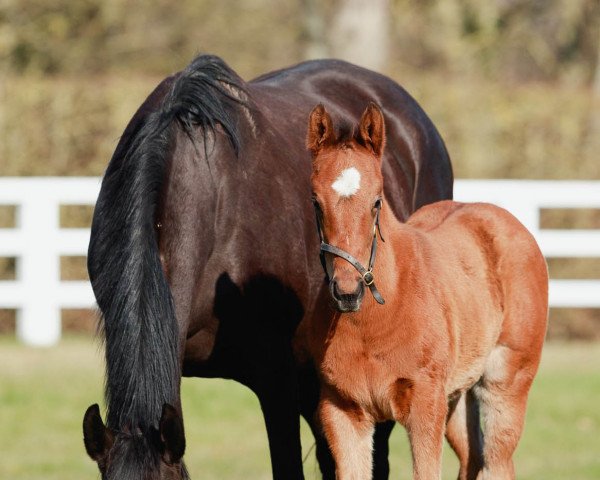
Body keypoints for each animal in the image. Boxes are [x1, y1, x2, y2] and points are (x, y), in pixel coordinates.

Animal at [300, 105, 548, 480]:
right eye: (316, 202)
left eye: (377, 201)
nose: (347, 291)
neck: (374, 321)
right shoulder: (343, 411)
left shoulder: (424, 406)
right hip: (456, 395)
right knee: (472, 458)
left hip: (505, 382)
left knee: (498, 462)